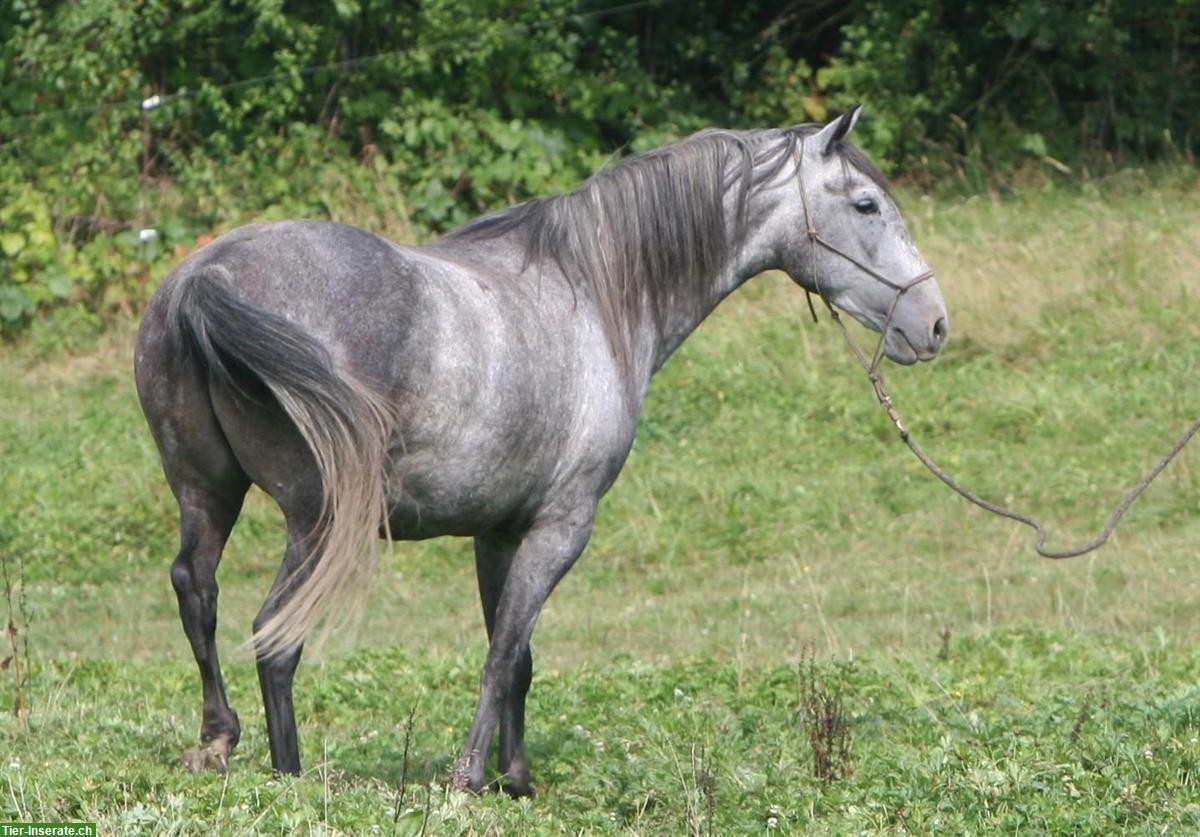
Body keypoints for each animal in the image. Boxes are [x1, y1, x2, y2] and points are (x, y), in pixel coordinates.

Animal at [136, 107, 945, 791]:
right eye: (866, 206)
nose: (934, 323)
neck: (593, 292)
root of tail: (208, 277)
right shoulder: (562, 527)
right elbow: (502, 655)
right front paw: (469, 778)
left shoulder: (499, 532)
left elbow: (516, 655)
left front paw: (515, 778)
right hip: (317, 520)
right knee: (276, 635)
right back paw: (291, 776)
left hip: (207, 493)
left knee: (196, 592)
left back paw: (219, 741)